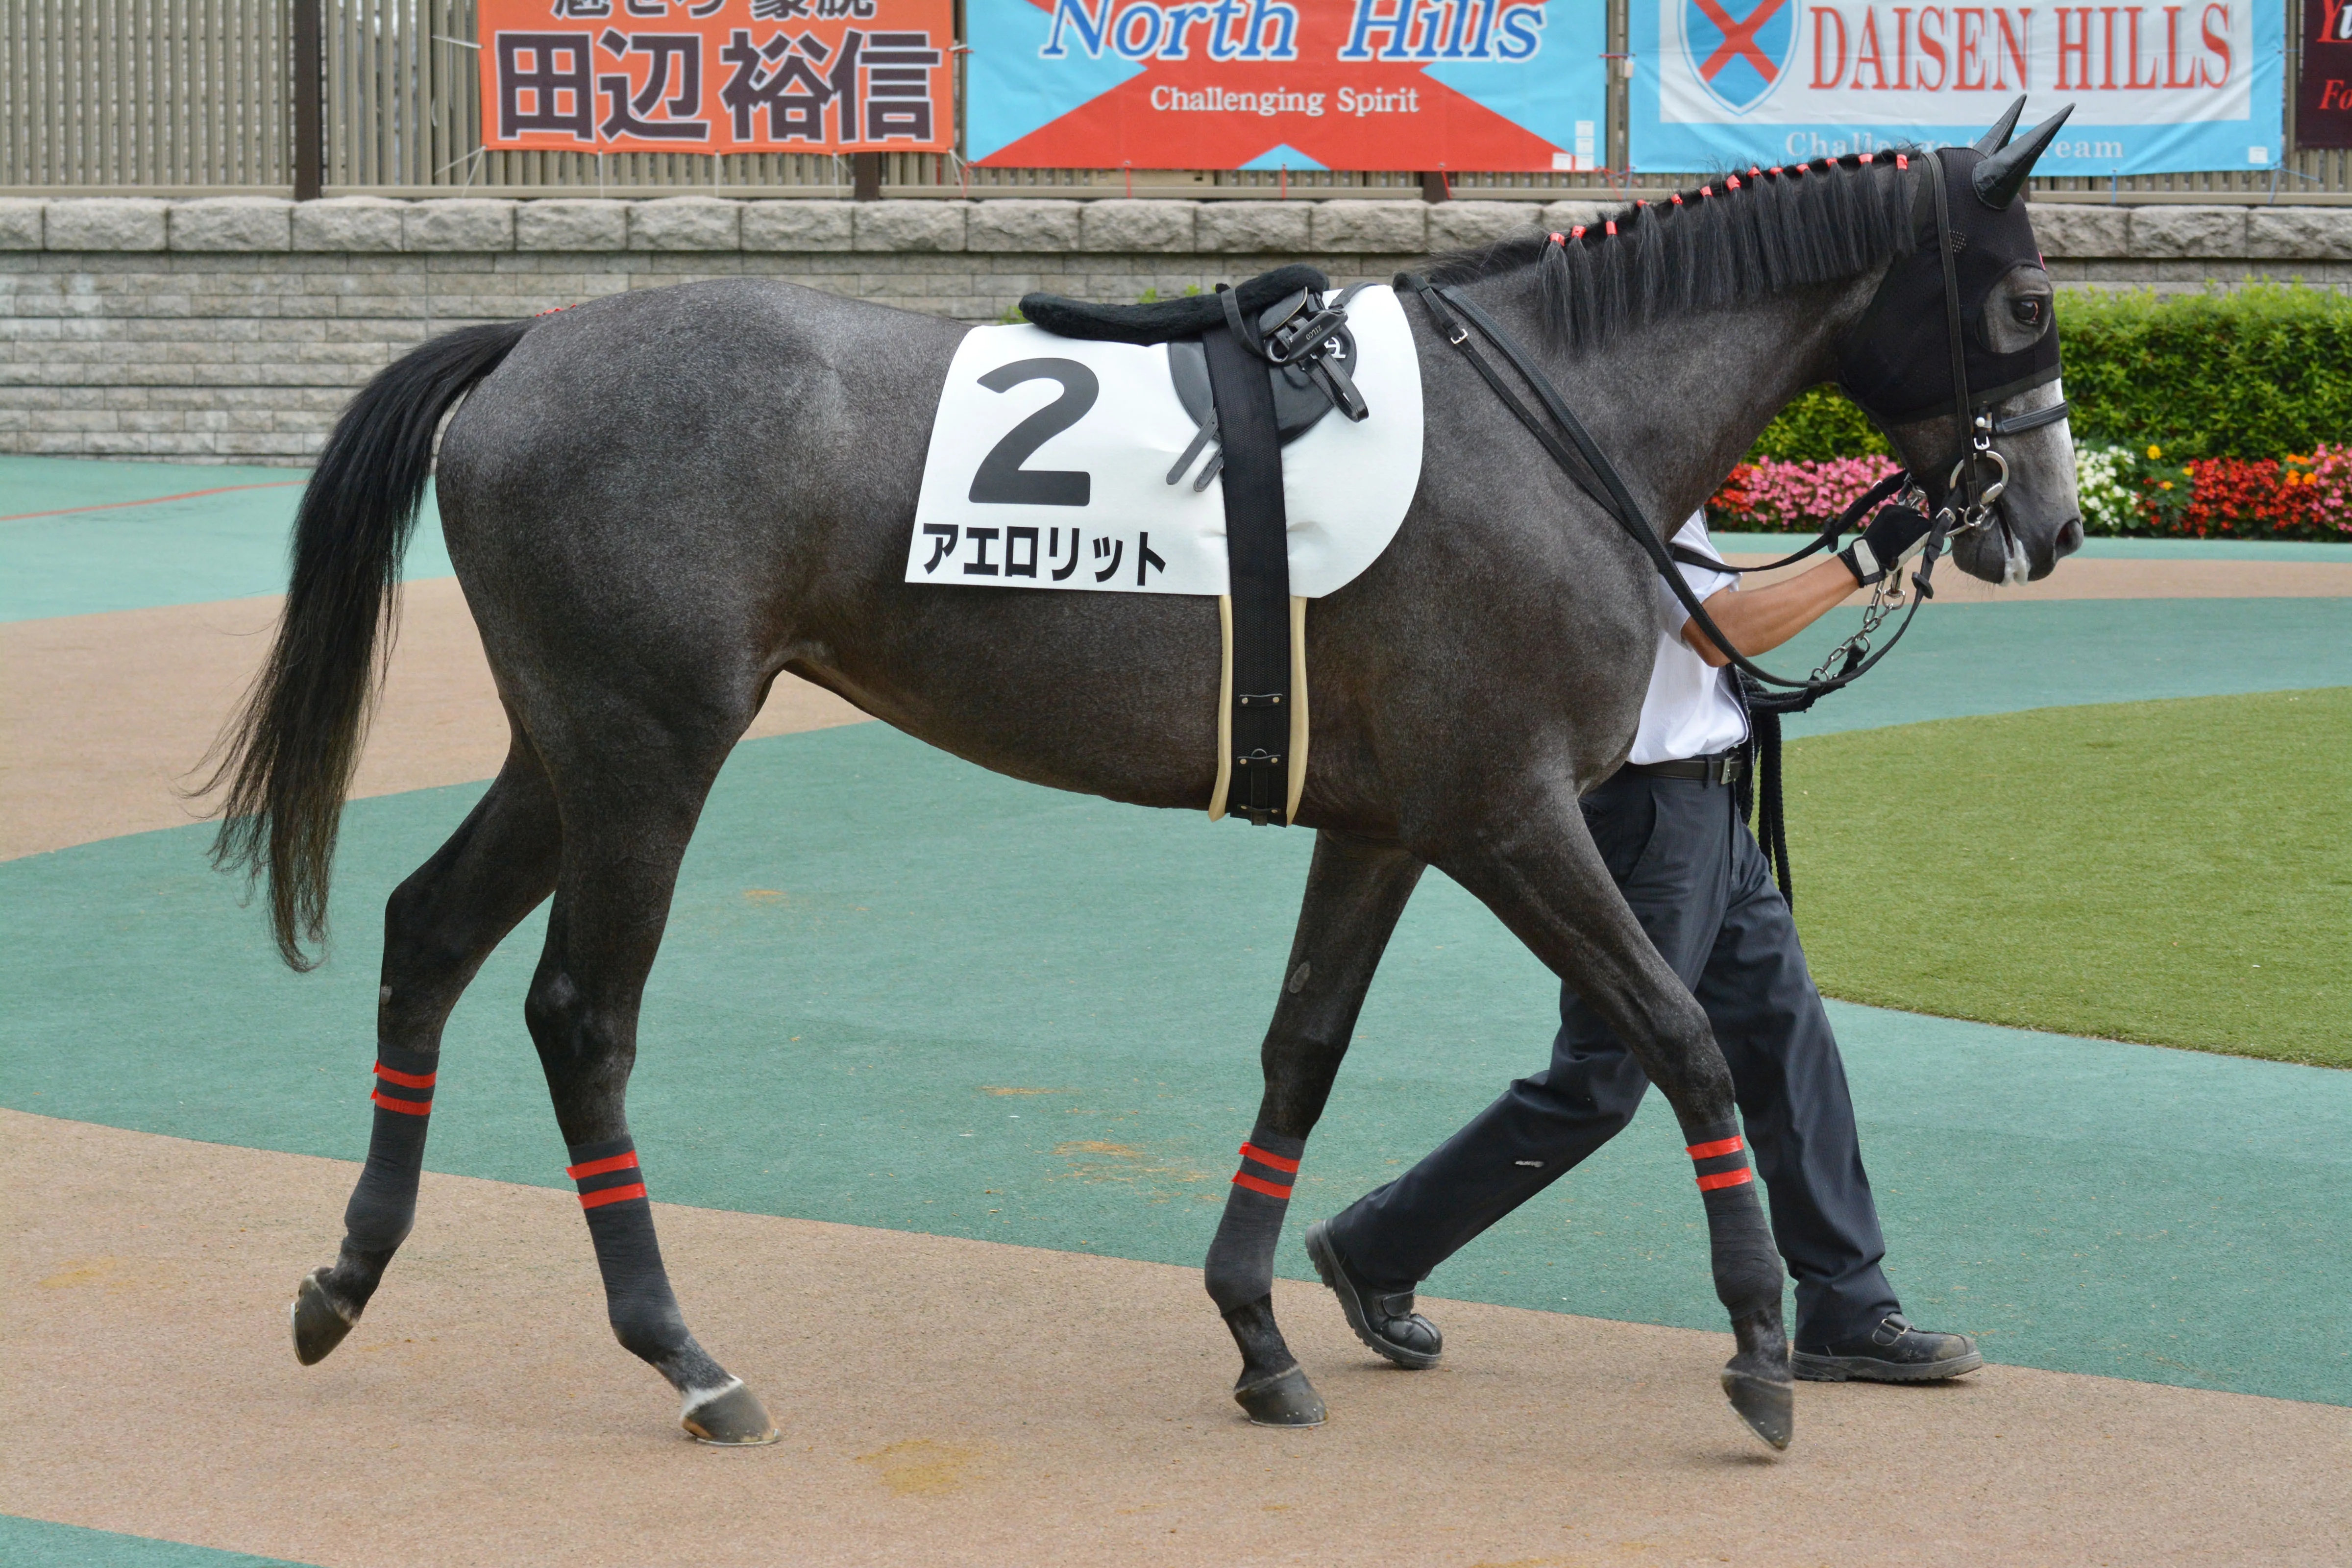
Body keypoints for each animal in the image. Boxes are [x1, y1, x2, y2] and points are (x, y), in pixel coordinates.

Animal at [208, 108, 2082, 1453]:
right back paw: (686, 1358)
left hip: (572, 746)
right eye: (2026, 301)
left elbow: (1303, 1048)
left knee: (425, 933)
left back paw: (343, 1277)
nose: (2049, 524)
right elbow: (1682, 1033)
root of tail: (526, 347)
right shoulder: (1508, 812)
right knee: (580, 1018)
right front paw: (1760, 1349)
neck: (1547, 425)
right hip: (648, 749)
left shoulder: (1387, 823)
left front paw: (1260, 1332)